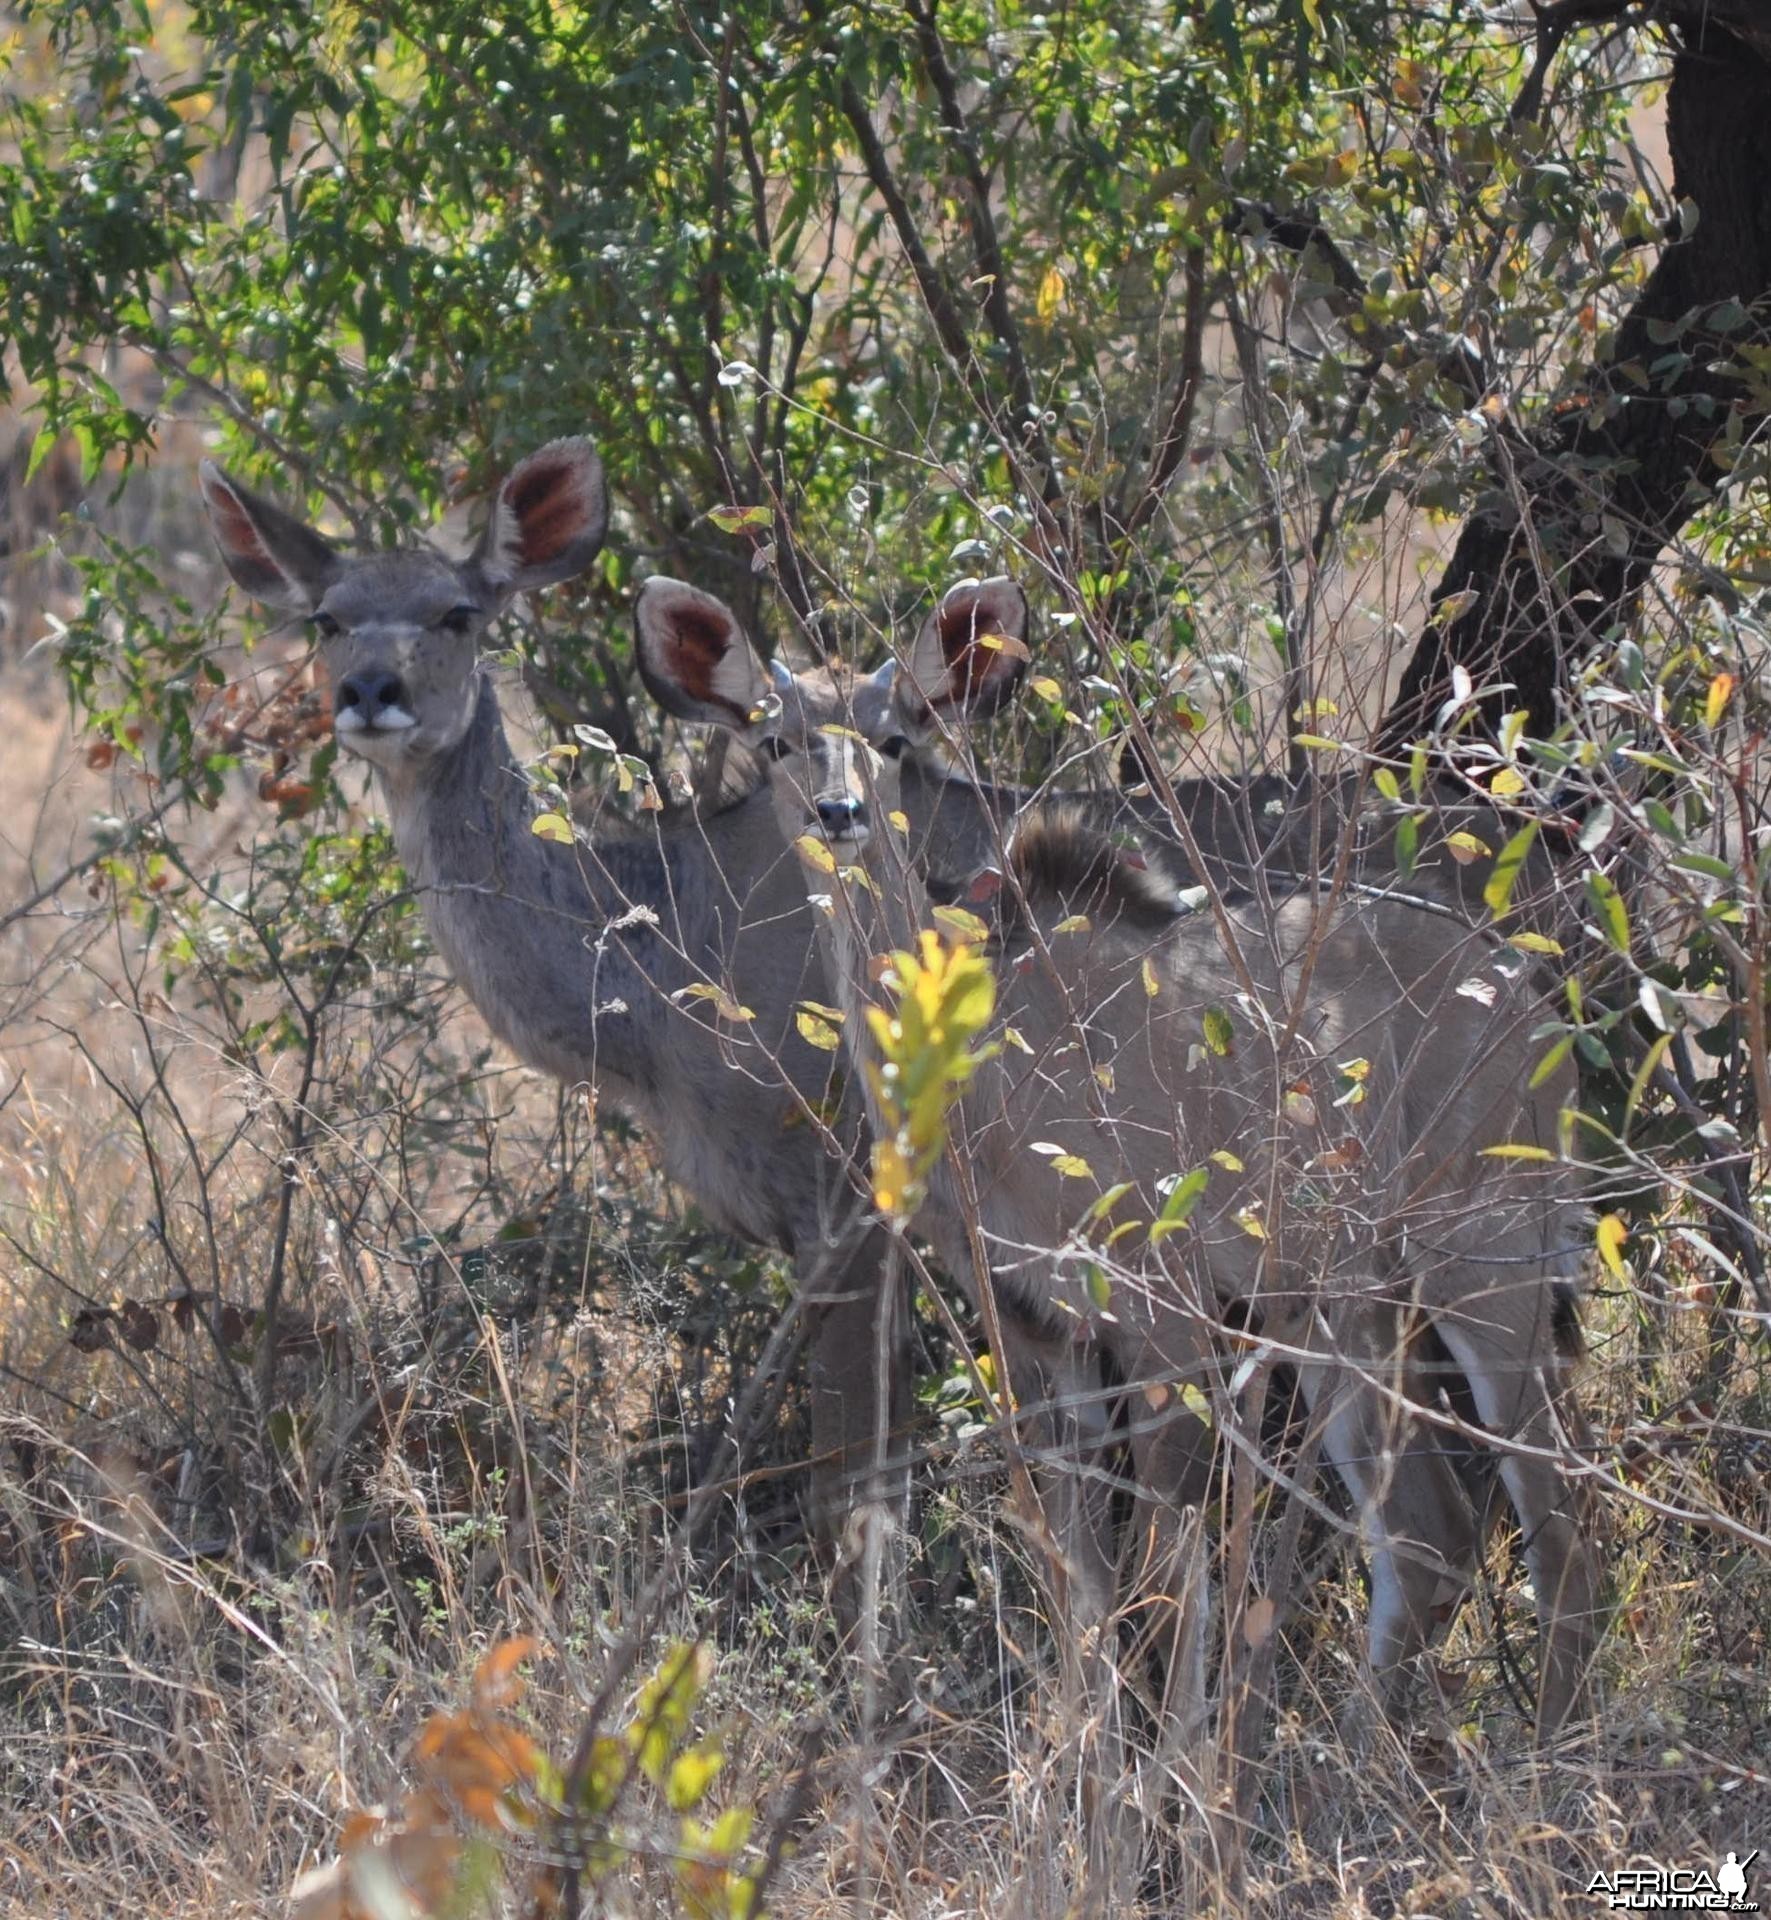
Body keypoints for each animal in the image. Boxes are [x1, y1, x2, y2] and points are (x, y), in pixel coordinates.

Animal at [637, 568, 1598, 1743]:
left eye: (899, 735)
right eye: (777, 740)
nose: (839, 814)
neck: (997, 1079)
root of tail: (1531, 1000)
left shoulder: (1162, 1310)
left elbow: (1166, 1573)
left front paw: (1169, 1778)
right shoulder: (1035, 1329)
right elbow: (1081, 1584)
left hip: (1486, 1266)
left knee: (1553, 1523)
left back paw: (1542, 1753)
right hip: (1343, 1305)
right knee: (1431, 1532)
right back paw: (1356, 1756)